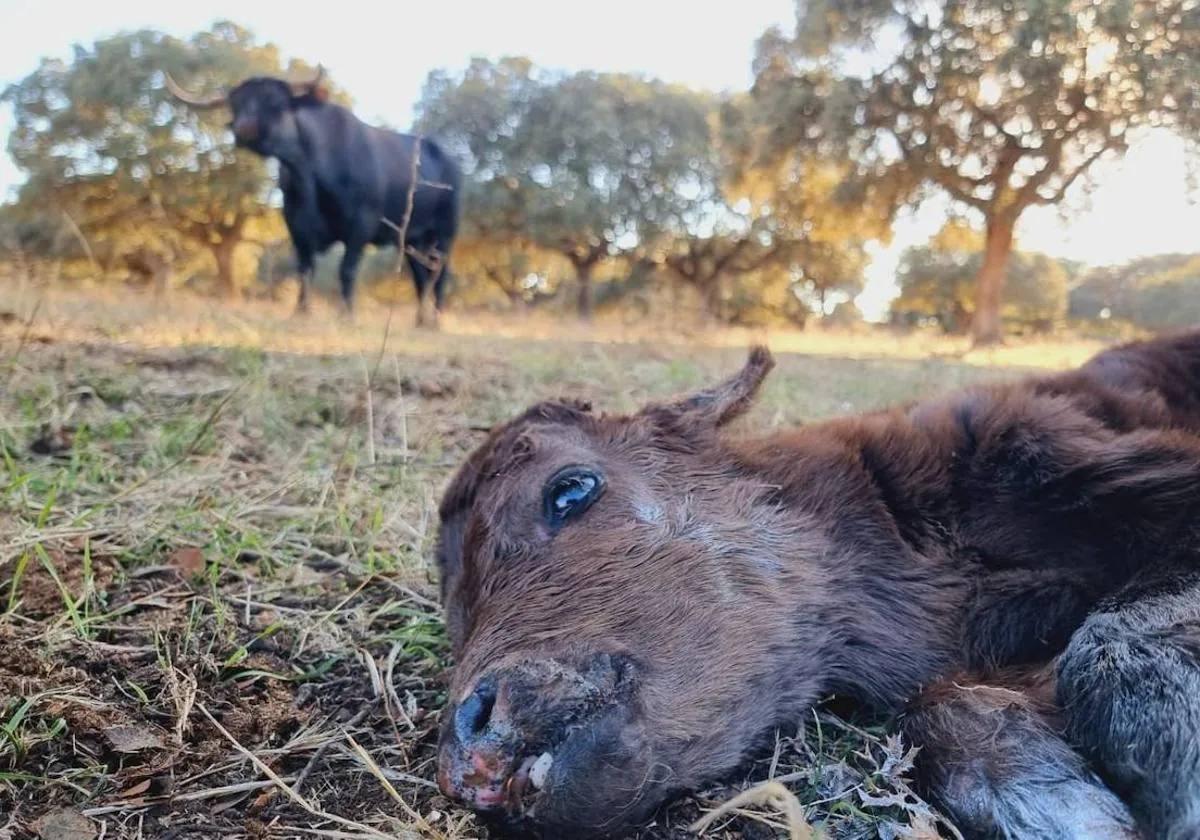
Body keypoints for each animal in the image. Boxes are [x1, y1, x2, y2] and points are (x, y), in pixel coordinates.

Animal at [164, 70, 453, 324]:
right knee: (422, 277)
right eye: (237, 105)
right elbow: (305, 269)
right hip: (413, 241)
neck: (309, 175)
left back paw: (437, 319)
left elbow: (346, 270)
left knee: (440, 274)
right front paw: (301, 311)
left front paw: (347, 315)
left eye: (276, 102)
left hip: (443, 235)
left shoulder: (362, 225)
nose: (245, 128)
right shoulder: (297, 226)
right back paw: (420, 320)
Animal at [436, 331, 1200, 835]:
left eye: (570, 490)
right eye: (453, 613)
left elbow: (1119, 635)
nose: (470, 751)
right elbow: (937, 708)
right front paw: (1053, 797)